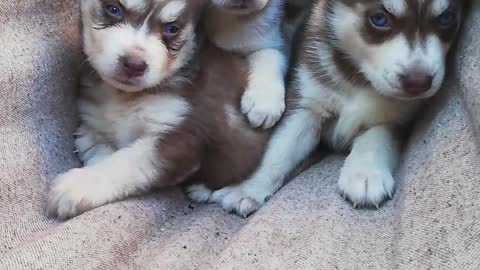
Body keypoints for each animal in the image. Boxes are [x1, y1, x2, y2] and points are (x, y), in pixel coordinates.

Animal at [48, 0, 274, 219]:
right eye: (114, 9)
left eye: (171, 29)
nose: (134, 64)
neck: (124, 96)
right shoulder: (92, 126)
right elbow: (99, 150)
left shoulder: (179, 134)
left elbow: (123, 164)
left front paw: (78, 186)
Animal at [207, 0, 468, 216]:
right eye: (379, 19)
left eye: (446, 18)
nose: (418, 83)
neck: (360, 78)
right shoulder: (305, 105)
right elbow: (278, 151)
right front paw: (247, 188)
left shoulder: (399, 117)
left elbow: (376, 136)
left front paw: (365, 173)